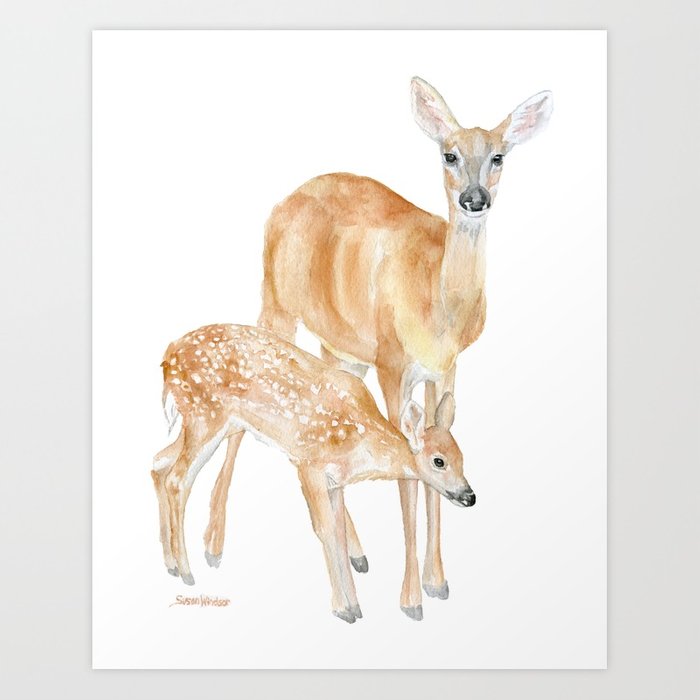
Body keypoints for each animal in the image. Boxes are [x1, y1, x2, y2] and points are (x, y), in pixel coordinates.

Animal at [151, 323, 475, 623]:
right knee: (178, 479)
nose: (469, 496)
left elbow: (340, 532)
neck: (362, 442)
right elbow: (325, 529)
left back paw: (170, 564)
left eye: (462, 458)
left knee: (159, 463)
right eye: (438, 461)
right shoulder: (309, 463)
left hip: (208, 423)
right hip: (206, 416)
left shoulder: (335, 481)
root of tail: (168, 357)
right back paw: (187, 571)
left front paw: (356, 605)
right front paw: (343, 609)